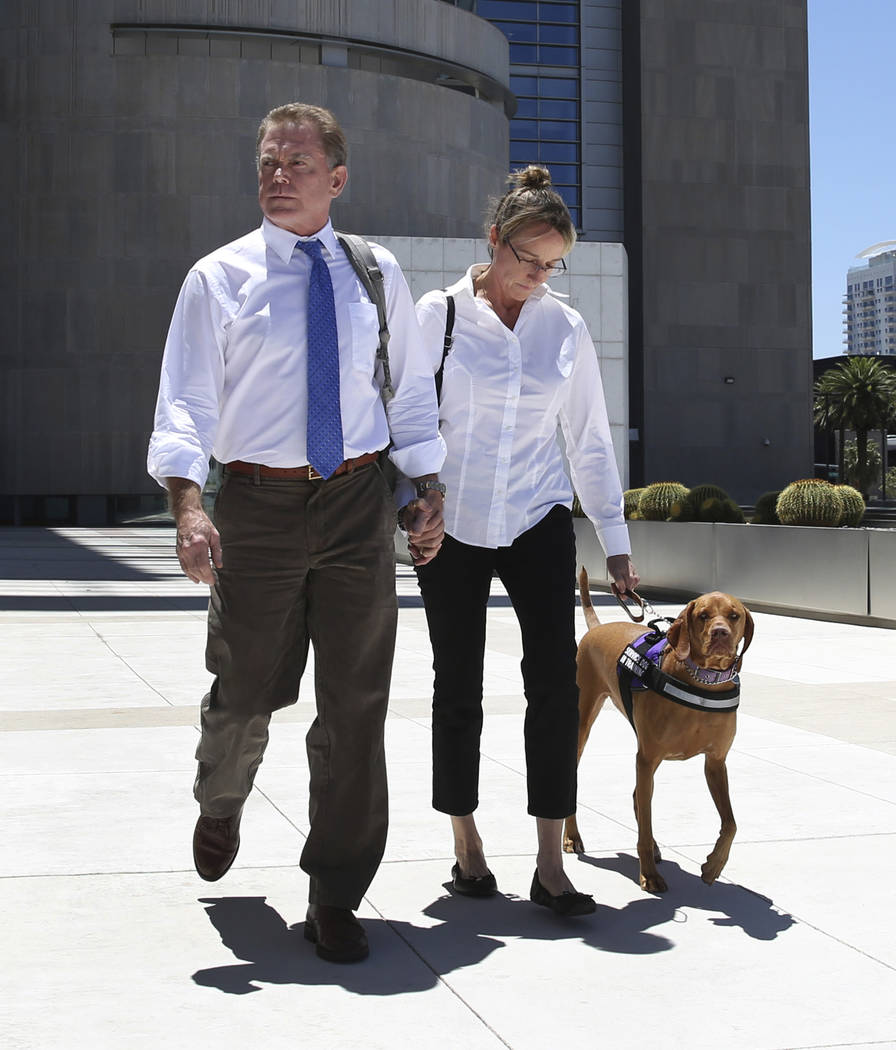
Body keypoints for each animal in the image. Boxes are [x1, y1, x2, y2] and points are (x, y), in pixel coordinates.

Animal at [563, 571, 752, 890]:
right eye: (703, 615)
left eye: (734, 615)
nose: (720, 633)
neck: (702, 683)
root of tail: (597, 628)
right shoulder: (647, 758)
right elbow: (646, 819)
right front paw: (649, 874)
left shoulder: (715, 762)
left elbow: (731, 823)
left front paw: (713, 865)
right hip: (582, 725)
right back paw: (571, 837)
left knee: (638, 797)